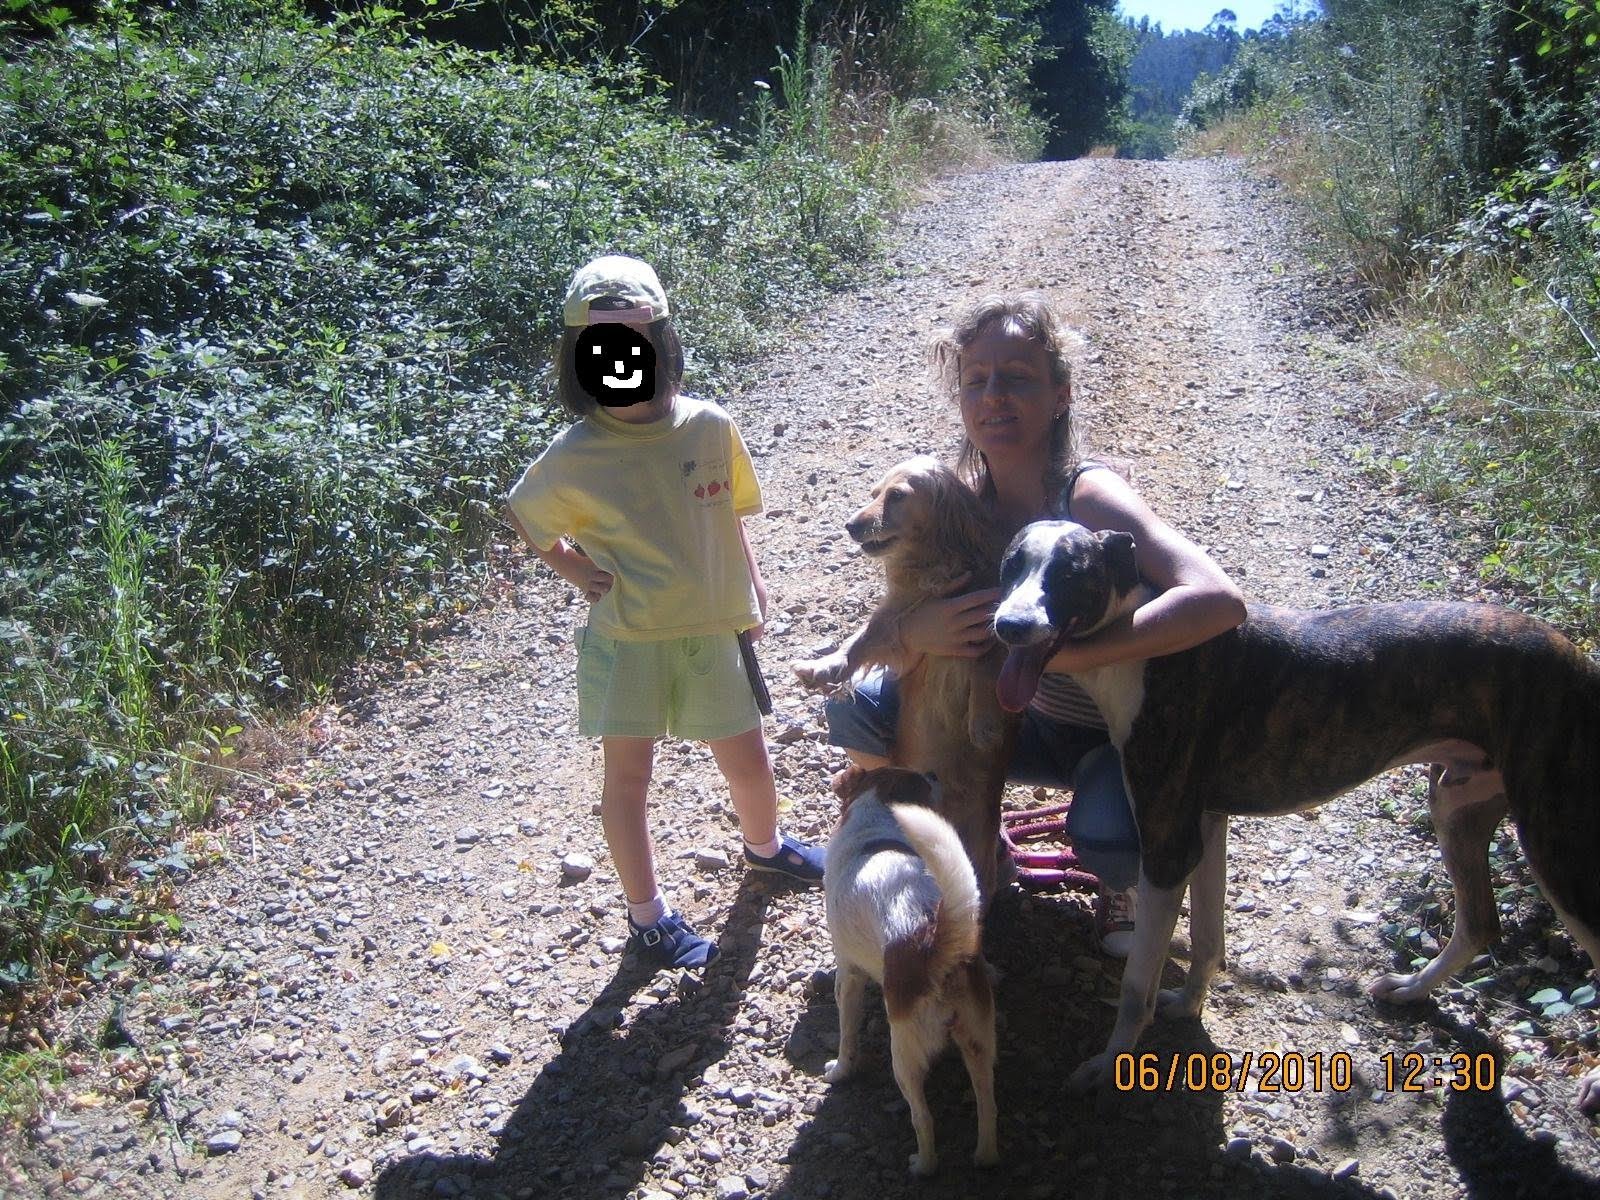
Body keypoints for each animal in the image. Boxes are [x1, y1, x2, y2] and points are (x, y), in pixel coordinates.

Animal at [793, 456, 1018, 898]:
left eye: (897, 496)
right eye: (874, 493)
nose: (851, 525)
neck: (937, 564)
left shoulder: (994, 622)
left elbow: (987, 667)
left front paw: (984, 723)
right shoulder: (899, 621)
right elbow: (858, 642)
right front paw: (822, 666)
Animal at [824, 765, 999, 1175]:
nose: (933, 771)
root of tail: (934, 941)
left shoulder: (848, 975)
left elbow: (847, 1036)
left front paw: (840, 1070)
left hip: (904, 1054)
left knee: (923, 1117)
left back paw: (923, 1164)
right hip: (980, 1041)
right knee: (988, 1106)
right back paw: (985, 1157)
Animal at [992, 519, 1600, 1109]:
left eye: (1070, 573)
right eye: (1010, 564)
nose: (1009, 627)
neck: (1139, 648)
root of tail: (1580, 661)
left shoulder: (1166, 849)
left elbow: (1135, 985)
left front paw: (1106, 1067)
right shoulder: (1205, 825)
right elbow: (1208, 937)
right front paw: (1188, 1006)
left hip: (1555, 848)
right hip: (1458, 804)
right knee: (1479, 922)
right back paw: (1411, 990)